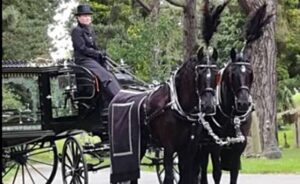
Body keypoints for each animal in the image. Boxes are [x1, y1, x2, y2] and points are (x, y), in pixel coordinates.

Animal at [198, 3, 274, 184]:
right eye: (232, 74)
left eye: (251, 74)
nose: (244, 103)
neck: (229, 114)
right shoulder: (215, 145)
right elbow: (217, 173)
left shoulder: (238, 146)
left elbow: (233, 172)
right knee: (202, 167)